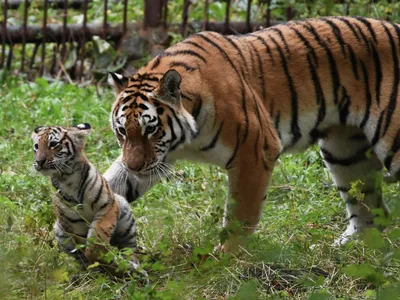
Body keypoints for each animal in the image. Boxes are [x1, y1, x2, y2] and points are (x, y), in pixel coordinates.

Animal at [104, 17, 396, 251]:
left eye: (151, 129)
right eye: (122, 131)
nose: (133, 166)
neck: (187, 140)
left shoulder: (254, 151)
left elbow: (240, 213)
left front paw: (225, 258)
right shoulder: (158, 158)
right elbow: (111, 184)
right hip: (344, 153)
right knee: (373, 211)